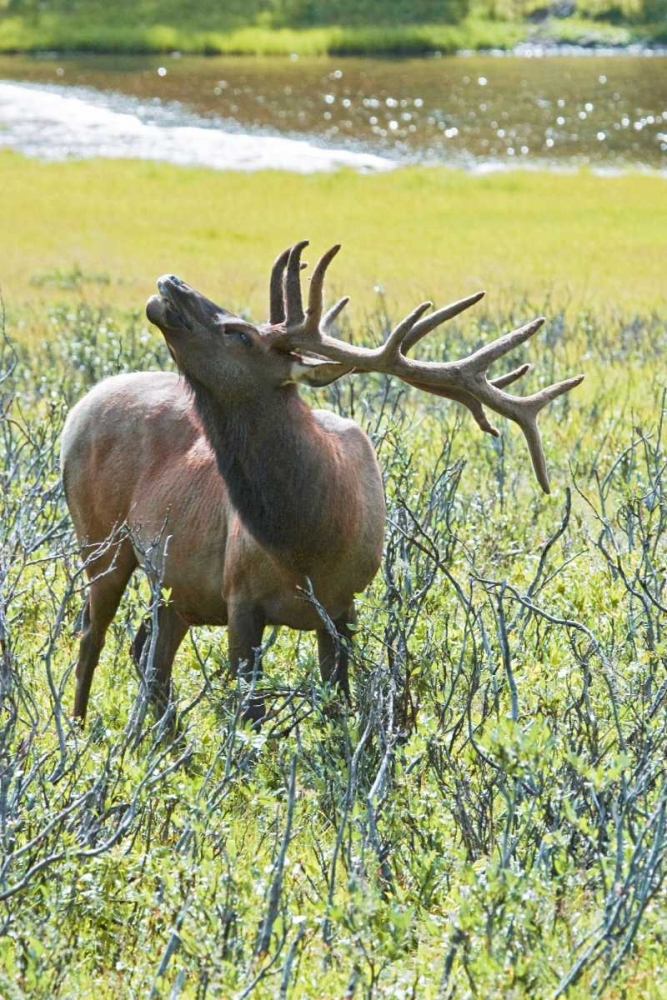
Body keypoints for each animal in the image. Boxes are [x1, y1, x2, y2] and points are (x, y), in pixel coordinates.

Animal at [61, 241, 584, 726]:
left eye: (240, 333)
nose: (171, 282)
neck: (308, 543)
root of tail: (81, 404)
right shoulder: (239, 596)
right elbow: (249, 710)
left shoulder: (342, 607)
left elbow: (336, 703)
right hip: (101, 539)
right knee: (93, 636)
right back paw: (82, 730)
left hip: (171, 583)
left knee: (147, 655)